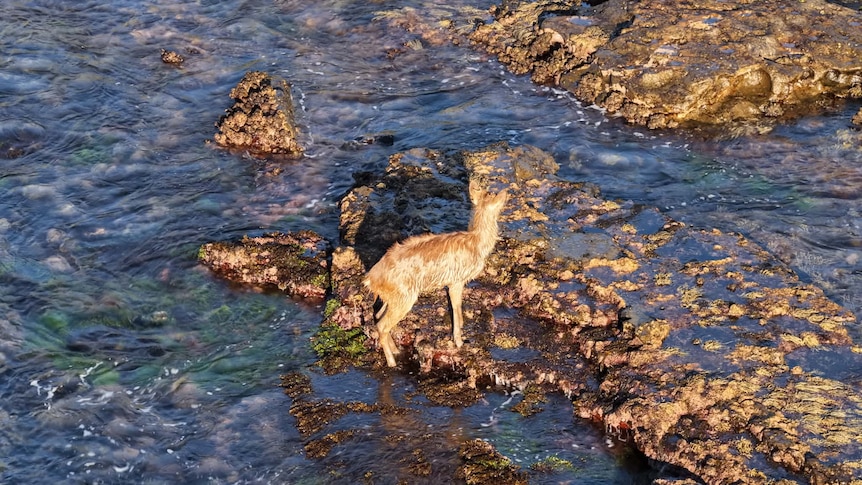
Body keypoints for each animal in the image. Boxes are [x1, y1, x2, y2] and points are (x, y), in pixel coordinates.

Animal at [364, 180, 508, 367]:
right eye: (491, 195)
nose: (503, 193)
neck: (477, 242)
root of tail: (370, 279)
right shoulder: (456, 280)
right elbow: (455, 306)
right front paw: (459, 341)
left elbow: (458, 307)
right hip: (404, 298)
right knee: (382, 325)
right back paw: (392, 362)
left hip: (391, 298)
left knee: (378, 317)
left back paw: (395, 350)